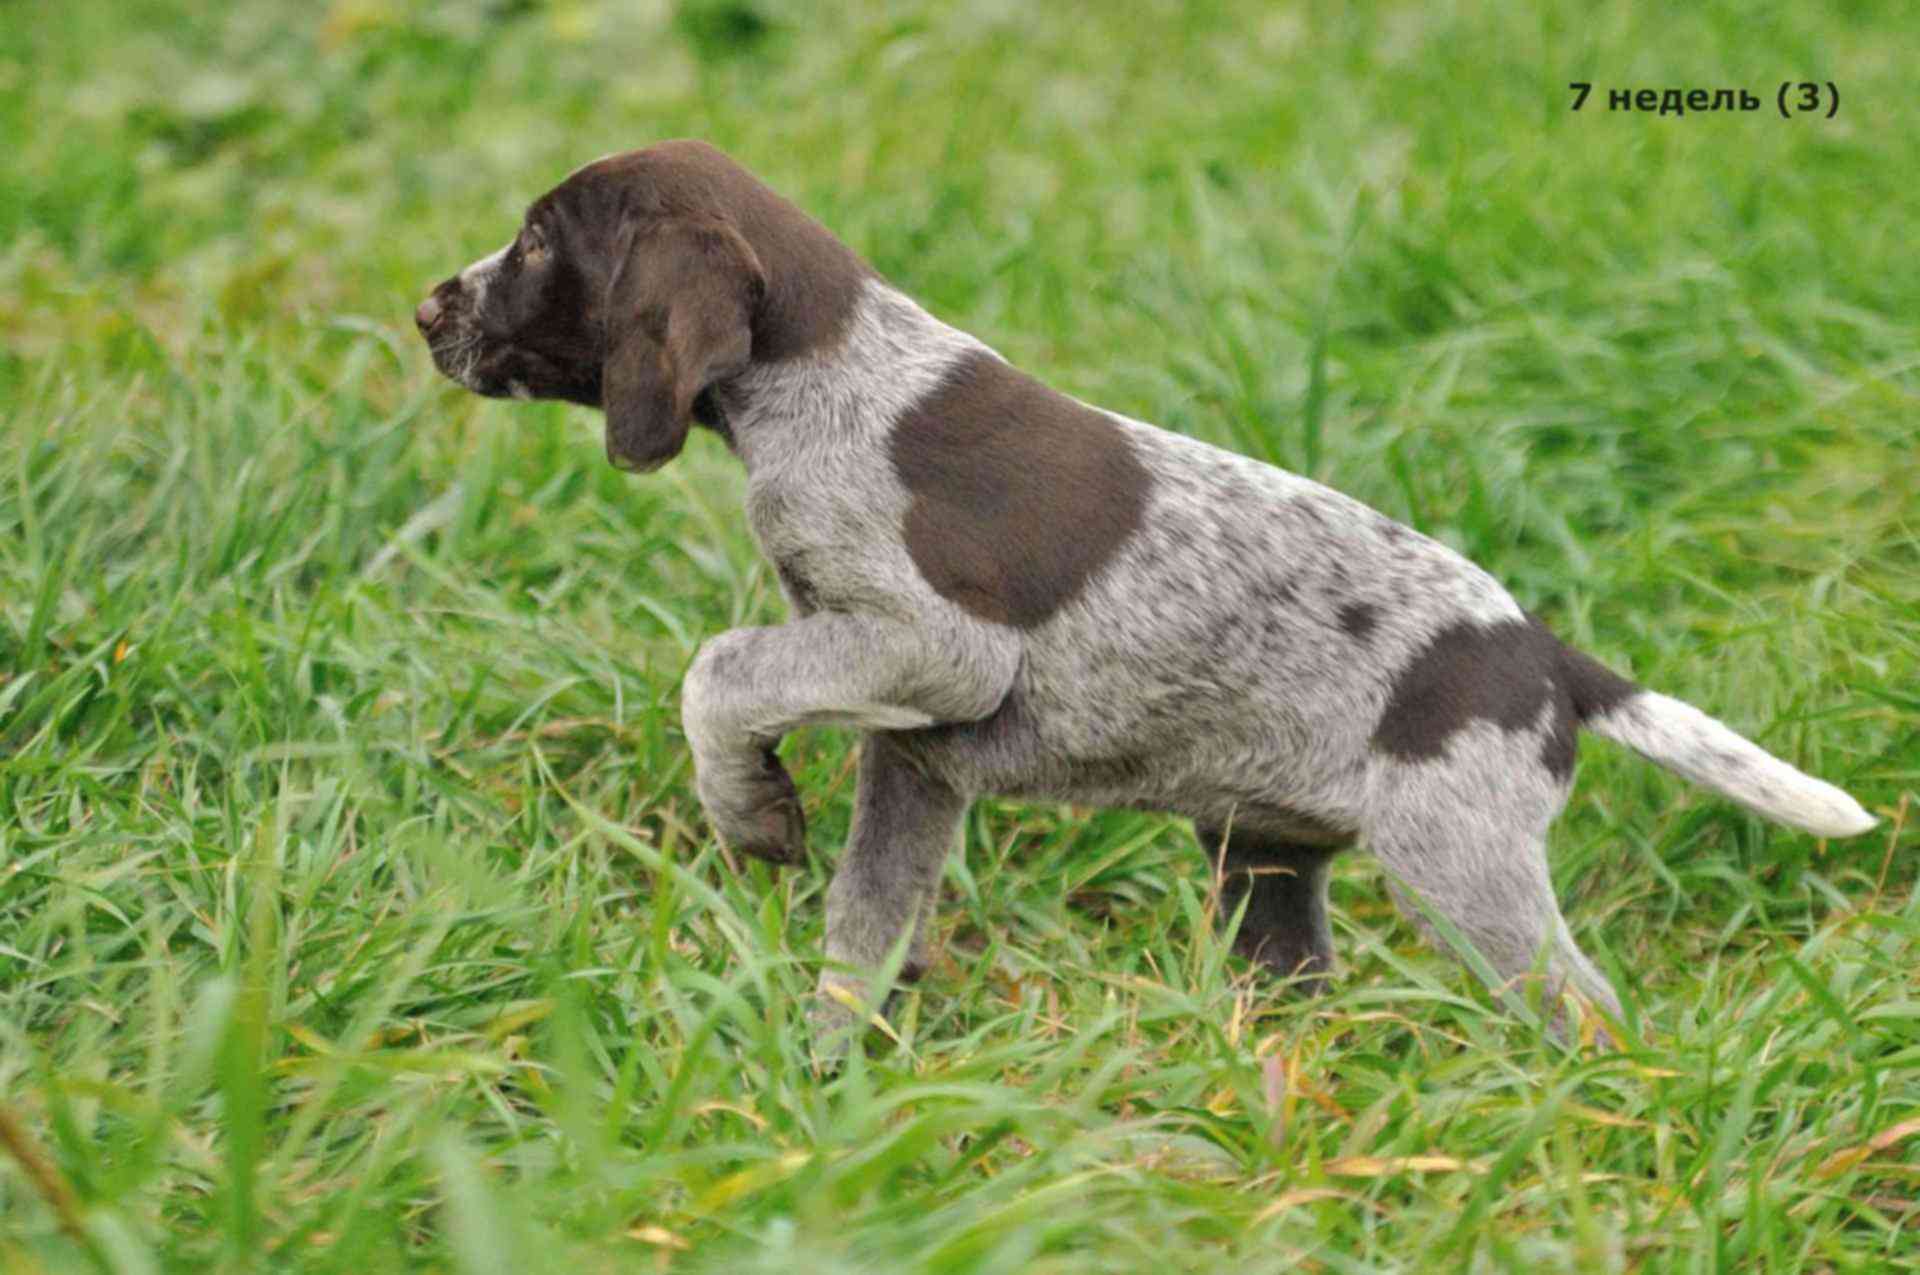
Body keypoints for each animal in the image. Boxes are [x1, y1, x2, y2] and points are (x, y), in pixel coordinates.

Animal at [420, 139, 1873, 1044]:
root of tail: (1543, 651)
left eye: (538, 243)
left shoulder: (940, 649)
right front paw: (827, 1079)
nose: (429, 306)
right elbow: (865, 924)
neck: (825, 371)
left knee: (1585, 1015)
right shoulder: (915, 750)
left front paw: (748, 806)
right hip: (1268, 877)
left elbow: (721, 667)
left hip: (1462, 869)